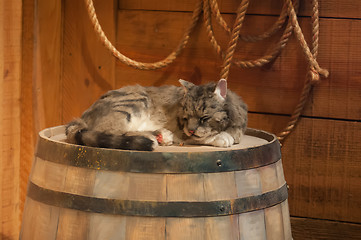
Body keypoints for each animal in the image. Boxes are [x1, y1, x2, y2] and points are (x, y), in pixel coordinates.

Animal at [64, 78, 246, 150]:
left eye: (204, 118)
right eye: (186, 117)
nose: (191, 129)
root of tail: (80, 119)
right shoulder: (182, 132)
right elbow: (200, 138)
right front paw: (221, 137)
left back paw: (160, 135)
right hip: (135, 100)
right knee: (109, 131)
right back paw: (155, 137)